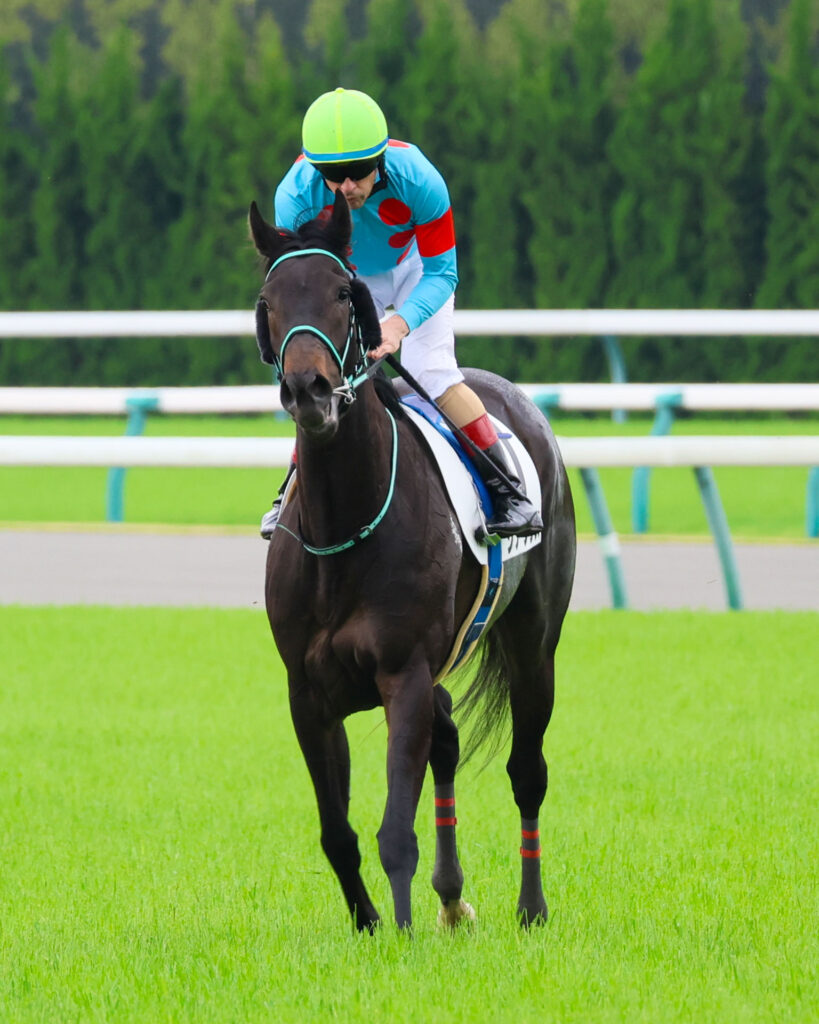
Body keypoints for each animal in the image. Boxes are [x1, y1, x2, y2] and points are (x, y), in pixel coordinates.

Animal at [249, 191, 576, 931]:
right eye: (268, 299)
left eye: (344, 291)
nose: (308, 390)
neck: (345, 527)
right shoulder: (307, 693)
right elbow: (337, 833)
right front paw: (370, 924)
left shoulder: (403, 674)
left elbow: (395, 828)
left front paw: (399, 933)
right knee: (448, 740)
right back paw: (452, 900)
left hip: (533, 643)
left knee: (528, 771)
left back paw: (532, 908)